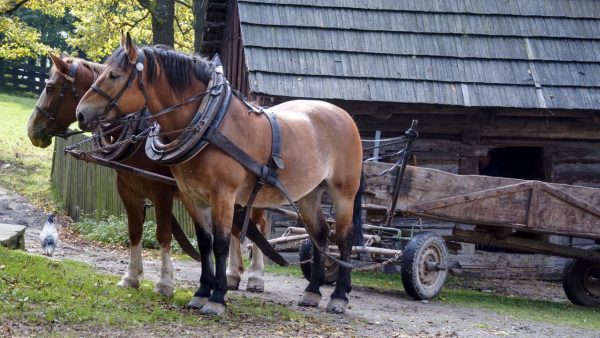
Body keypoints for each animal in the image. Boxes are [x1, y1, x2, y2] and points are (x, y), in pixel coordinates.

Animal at [27, 53, 270, 302]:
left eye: (50, 87)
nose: (32, 130)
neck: (137, 135)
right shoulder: (127, 189)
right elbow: (134, 231)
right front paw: (131, 276)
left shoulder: (161, 192)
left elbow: (163, 234)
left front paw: (165, 283)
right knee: (236, 229)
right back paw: (233, 275)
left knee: (260, 226)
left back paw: (256, 277)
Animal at [77, 34, 364, 314]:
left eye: (114, 75)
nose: (81, 112)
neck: (210, 124)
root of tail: (344, 115)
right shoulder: (191, 196)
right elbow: (205, 243)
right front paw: (202, 292)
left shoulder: (221, 195)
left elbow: (220, 244)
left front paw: (217, 298)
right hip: (309, 193)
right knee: (320, 234)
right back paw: (312, 291)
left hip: (343, 192)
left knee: (343, 238)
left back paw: (338, 296)